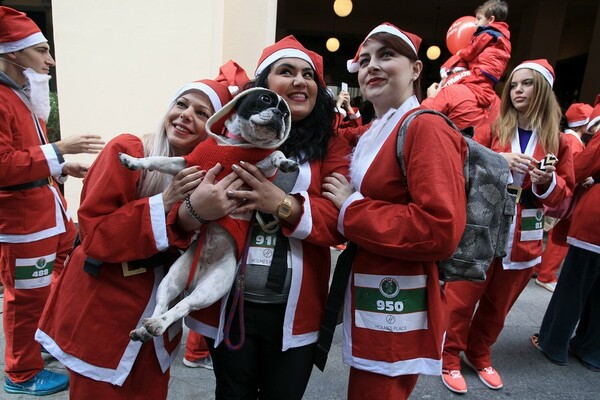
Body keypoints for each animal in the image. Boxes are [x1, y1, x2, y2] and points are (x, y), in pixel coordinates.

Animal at [121, 87, 298, 340]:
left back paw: (157, 325)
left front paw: (285, 162)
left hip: (213, 285)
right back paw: (144, 329)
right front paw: (134, 161)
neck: (234, 144)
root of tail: (198, 275)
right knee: (163, 302)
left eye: (287, 113)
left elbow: (275, 155)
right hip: (173, 278)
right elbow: (158, 160)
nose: (280, 115)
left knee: (183, 305)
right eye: (265, 99)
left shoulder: (256, 169)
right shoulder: (188, 163)